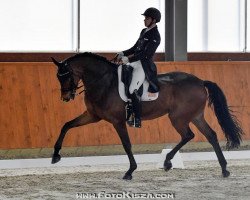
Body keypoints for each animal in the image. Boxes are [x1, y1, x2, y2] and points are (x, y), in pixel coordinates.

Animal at [50, 52, 242, 180]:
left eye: (66, 75)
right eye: (58, 77)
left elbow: (126, 144)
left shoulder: (117, 121)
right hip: (195, 116)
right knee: (211, 135)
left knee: (188, 135)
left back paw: (167, 162)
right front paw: (55, 155)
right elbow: (66, 125)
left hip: (178, 117)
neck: (104, 82)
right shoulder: (92, 116)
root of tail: (201, 81)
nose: (65, 97)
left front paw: (130, 171)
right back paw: (224, 169)